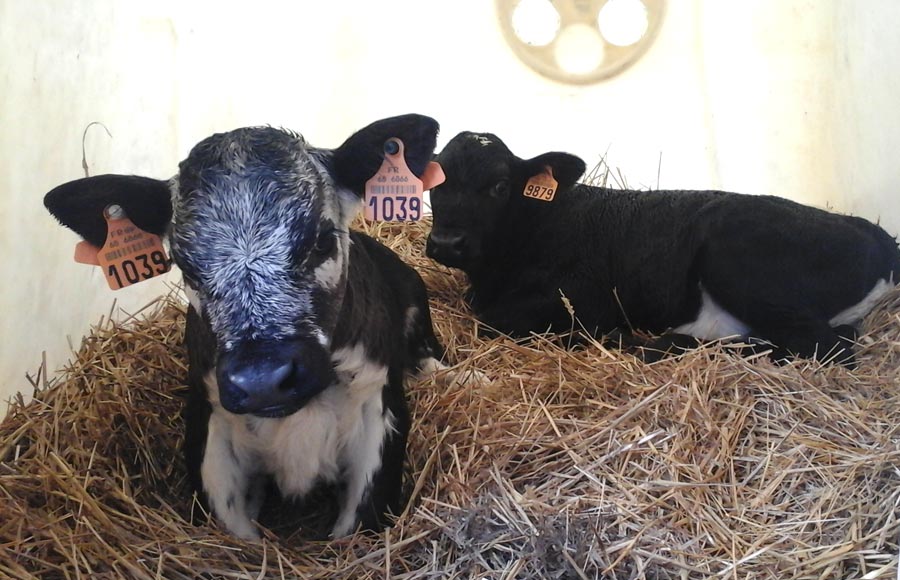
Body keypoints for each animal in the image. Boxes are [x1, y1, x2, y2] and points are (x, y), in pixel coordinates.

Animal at [44, 113, 448, 540]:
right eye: (185, 265)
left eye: (322, 241)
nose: (262, 380)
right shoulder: (209, 425)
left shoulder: (379, 412)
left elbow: (358, 524)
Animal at [428, 132, 900, 368]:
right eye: (434, 182)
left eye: (499, 186)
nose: (447, 242)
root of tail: (876, 234)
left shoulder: (586, 299)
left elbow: (492, 323)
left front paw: (610, 338)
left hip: (738, 260)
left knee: (827, 348)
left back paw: (653, 345)